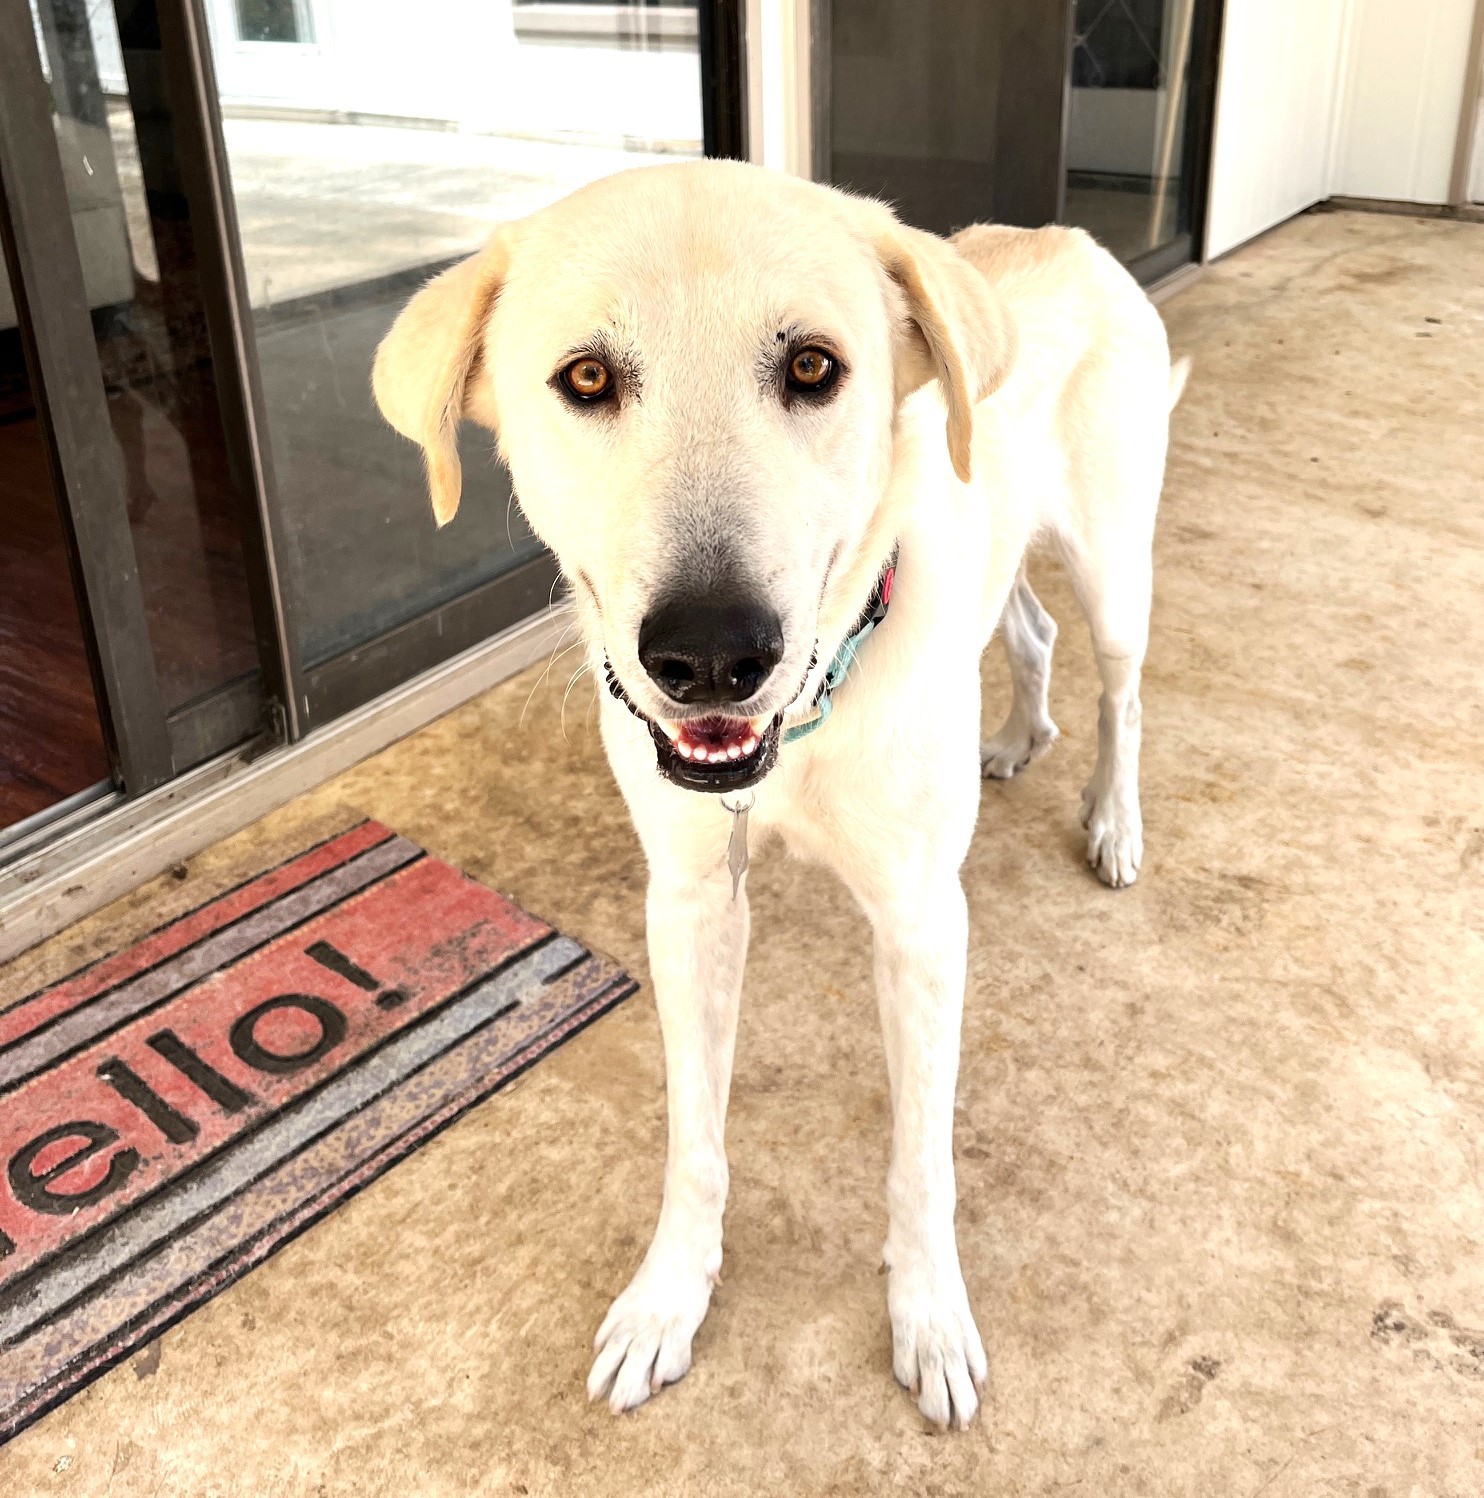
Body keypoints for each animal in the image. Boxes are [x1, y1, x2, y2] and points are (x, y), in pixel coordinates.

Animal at [377, 158, 1191, 1432]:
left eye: (812, 367)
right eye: (586, 378)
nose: (710, 656)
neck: (803, 727)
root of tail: (1068, 236)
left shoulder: (922, 924)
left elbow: (921, 1159)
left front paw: (928, 1315)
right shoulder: (687, 907)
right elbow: (694, 1141)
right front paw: (669, 1296)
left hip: (1116, 570)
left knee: (1117, 689)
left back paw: (1111, 818)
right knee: (1030, 630)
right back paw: (1015, 736)